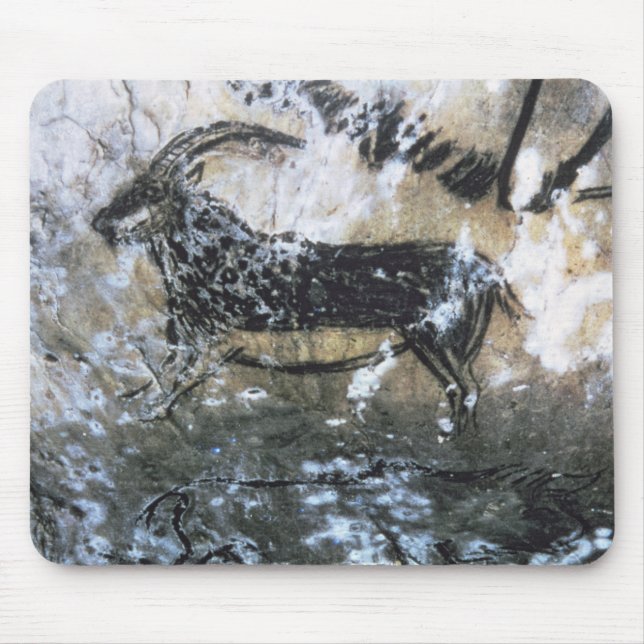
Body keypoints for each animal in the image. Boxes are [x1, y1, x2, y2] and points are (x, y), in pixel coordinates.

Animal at [92, 121, 522, 435]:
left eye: (155, 193)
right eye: (131, 187)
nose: (101, 222)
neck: (218, 258)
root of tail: (489, 273)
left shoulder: (221, 342)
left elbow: (181, 379)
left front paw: (151, 412)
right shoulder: (182, 336)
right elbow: (164, 370)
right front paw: (135, 398)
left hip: (442, 339)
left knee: (468, 388)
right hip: (428, 343)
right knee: (457, 387)